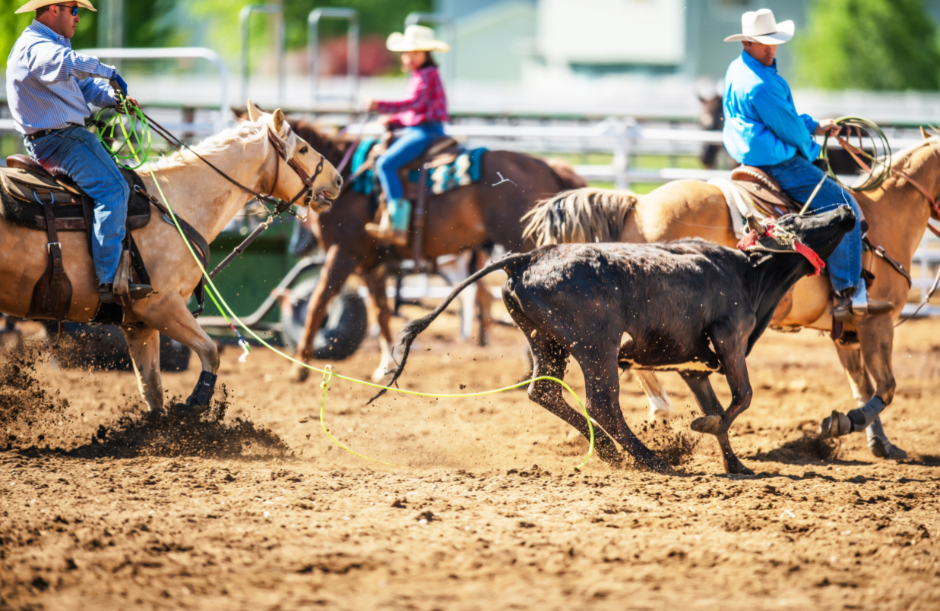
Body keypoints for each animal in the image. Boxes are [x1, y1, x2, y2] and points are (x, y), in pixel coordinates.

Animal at [372, 206, 856, 475]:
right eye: (797, 219)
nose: (843, 211)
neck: (748, 272)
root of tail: (527, 257)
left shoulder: (693, 368)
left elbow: (721, 406)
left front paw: (734, 463)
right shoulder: (729, 338)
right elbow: (742, 397)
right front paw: (702, 429)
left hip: (545, 341)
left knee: (544, 391)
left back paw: (609, 450)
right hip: (596, 345)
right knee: (602, 402)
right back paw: (651, 459)